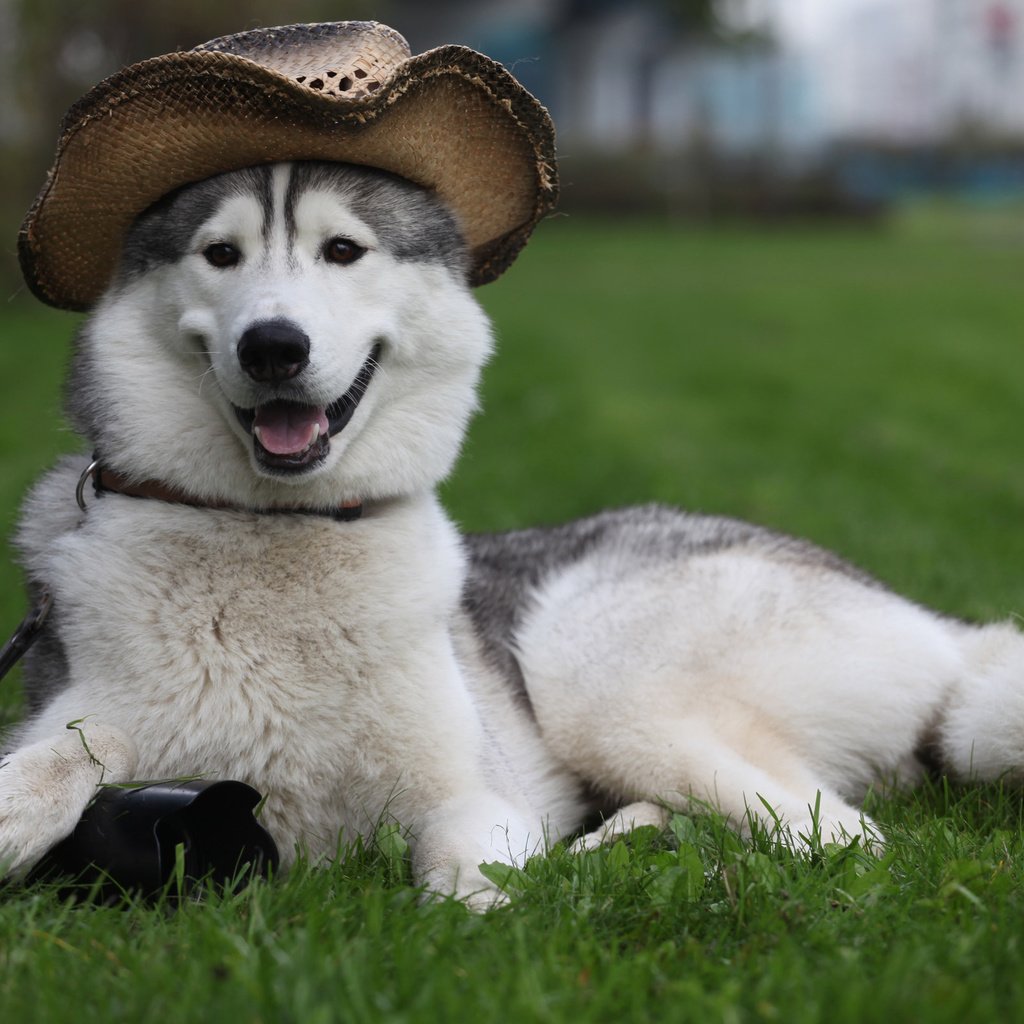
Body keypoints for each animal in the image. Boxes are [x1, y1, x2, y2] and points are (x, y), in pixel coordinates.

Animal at [2, 153, 1024, 905]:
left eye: (344, 250)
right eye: (220, 254)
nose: (273, 347)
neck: (277, 535)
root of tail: (938, 629)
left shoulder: (472, 793)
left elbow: (464, 890)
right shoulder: (100, 715)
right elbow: (83, 741)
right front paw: (23, 798)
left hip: (596, 677)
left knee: (848, 842)